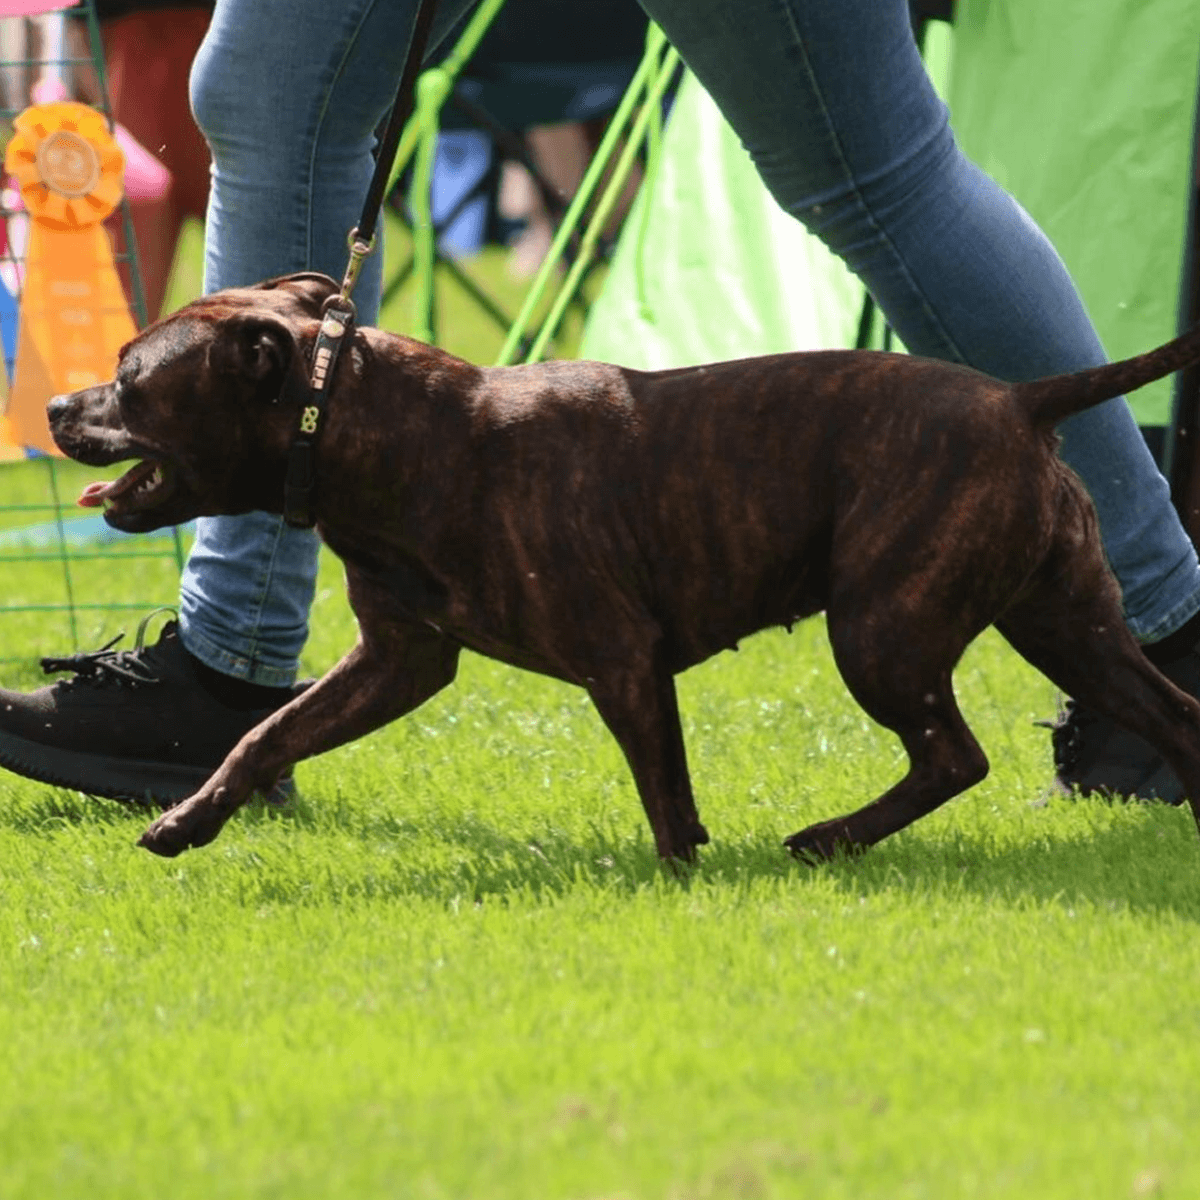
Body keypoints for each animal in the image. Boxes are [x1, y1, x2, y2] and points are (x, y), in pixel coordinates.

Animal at [42, 272, 1200, 859]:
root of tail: (1022, 400)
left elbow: (664, 793)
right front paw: (188, 819)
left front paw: (683, 873)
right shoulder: (398, 661)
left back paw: (830, 838)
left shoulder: (622, 663)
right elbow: (268, 733)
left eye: (130, 380)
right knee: (1171, 711)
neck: (385, 430)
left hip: (883, 632)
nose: (53, 406)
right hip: (1066, 627)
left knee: (952, 756)